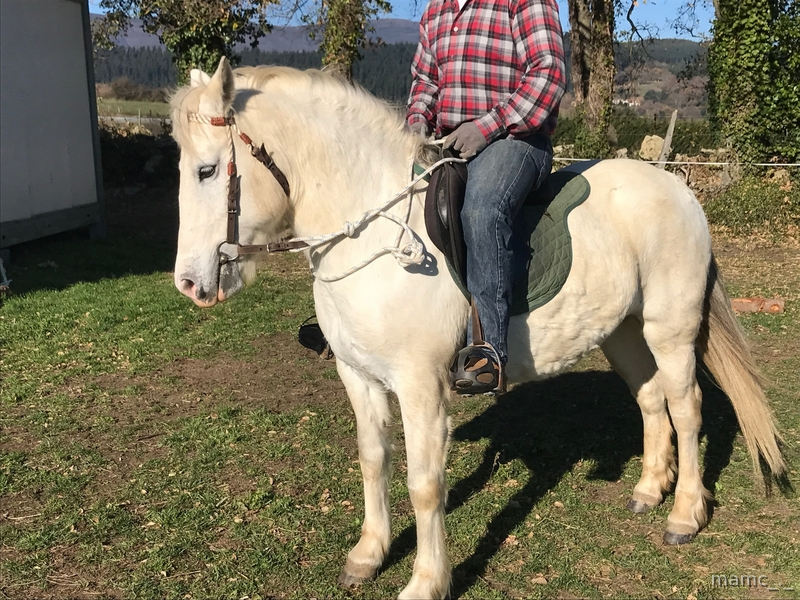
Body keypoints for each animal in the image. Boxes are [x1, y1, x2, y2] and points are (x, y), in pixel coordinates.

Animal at [169, 58, 786, 599]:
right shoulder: (358, 375)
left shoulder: (421, 386)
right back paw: (648, 489)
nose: (190, 284)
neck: (376, 236)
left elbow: (424, 485)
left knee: (687, 406)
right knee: (651, 399)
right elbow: (373, 461)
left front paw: (426, 581)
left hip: (670, 330)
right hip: (622, 333)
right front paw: (368, 555)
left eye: (207, 171)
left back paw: (684, 515)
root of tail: (679, 190)